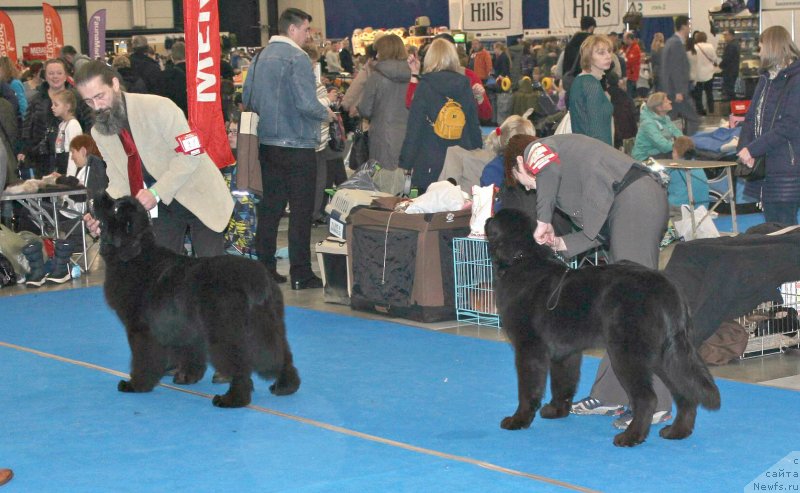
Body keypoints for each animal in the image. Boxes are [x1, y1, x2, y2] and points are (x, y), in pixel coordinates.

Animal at [93, 194, 300, 406]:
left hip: (227, 330)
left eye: (116, 208)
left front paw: (137, 384)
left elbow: (143, 358)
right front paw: (187, 377)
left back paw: (232, 399)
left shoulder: (141, 329)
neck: (136, 255)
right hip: (268, 325)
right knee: (282, 353)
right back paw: (285, 386)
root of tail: (258, 280)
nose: (100, 194)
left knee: (241, 363)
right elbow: (190, 351)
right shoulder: (184, 326)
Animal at [484, 208, 720, 446]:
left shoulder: (529, 348)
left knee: (647, 398)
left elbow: (528, 390)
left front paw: (518, 420)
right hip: (667, 355)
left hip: (626, 353)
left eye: (496, 219)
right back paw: (677, 431)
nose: (487, 218)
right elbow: (563, 382)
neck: (522, 259)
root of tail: (667, 288)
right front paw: (557, 410)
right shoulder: (566, 351)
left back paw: (631, 436)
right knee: (685, 393)